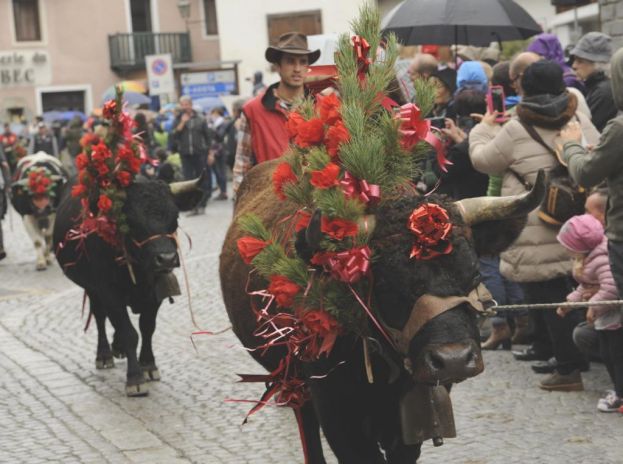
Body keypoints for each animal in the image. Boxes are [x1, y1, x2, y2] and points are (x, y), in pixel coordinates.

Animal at [53, 92, 204, 396]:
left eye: (175, 218)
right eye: (131, 221)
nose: (166, 259)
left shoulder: (155, 290)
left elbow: (147, 326)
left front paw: (148, 364)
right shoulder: (108, 289)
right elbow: (127, 329)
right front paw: (134, 378)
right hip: (91, 287)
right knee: (100, 316)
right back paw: (104, 354)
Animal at [219, 9, 544, 464]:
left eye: (473, 272)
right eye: (388, 281)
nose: (453, 360)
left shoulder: (412, 414)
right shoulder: (337, 411)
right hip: (291, 380)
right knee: (304, 424)